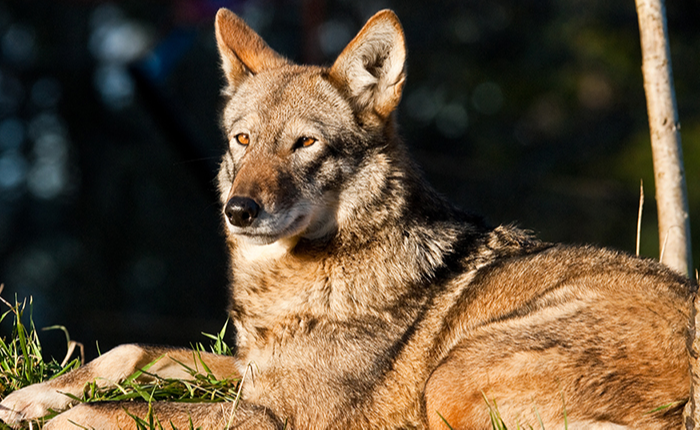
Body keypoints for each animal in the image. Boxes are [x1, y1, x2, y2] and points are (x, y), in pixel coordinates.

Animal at [0, 7, 696, 430]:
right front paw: (29, 397)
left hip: (450, 378)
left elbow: (109, 414)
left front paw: (55, 414)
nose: (239, 210)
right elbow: (131, 350)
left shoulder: (276, 415)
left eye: (305, 144)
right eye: (243, 140)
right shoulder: (250, 374)